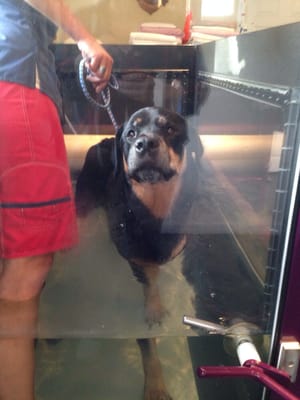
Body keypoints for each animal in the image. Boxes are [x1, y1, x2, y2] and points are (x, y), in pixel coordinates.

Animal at [75, 106, 203, 400]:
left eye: (170, 129)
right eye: (132, 133)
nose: (144, 143)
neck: (154, 209)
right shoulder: (135, 259)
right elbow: (148, 337)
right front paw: (155, 387)